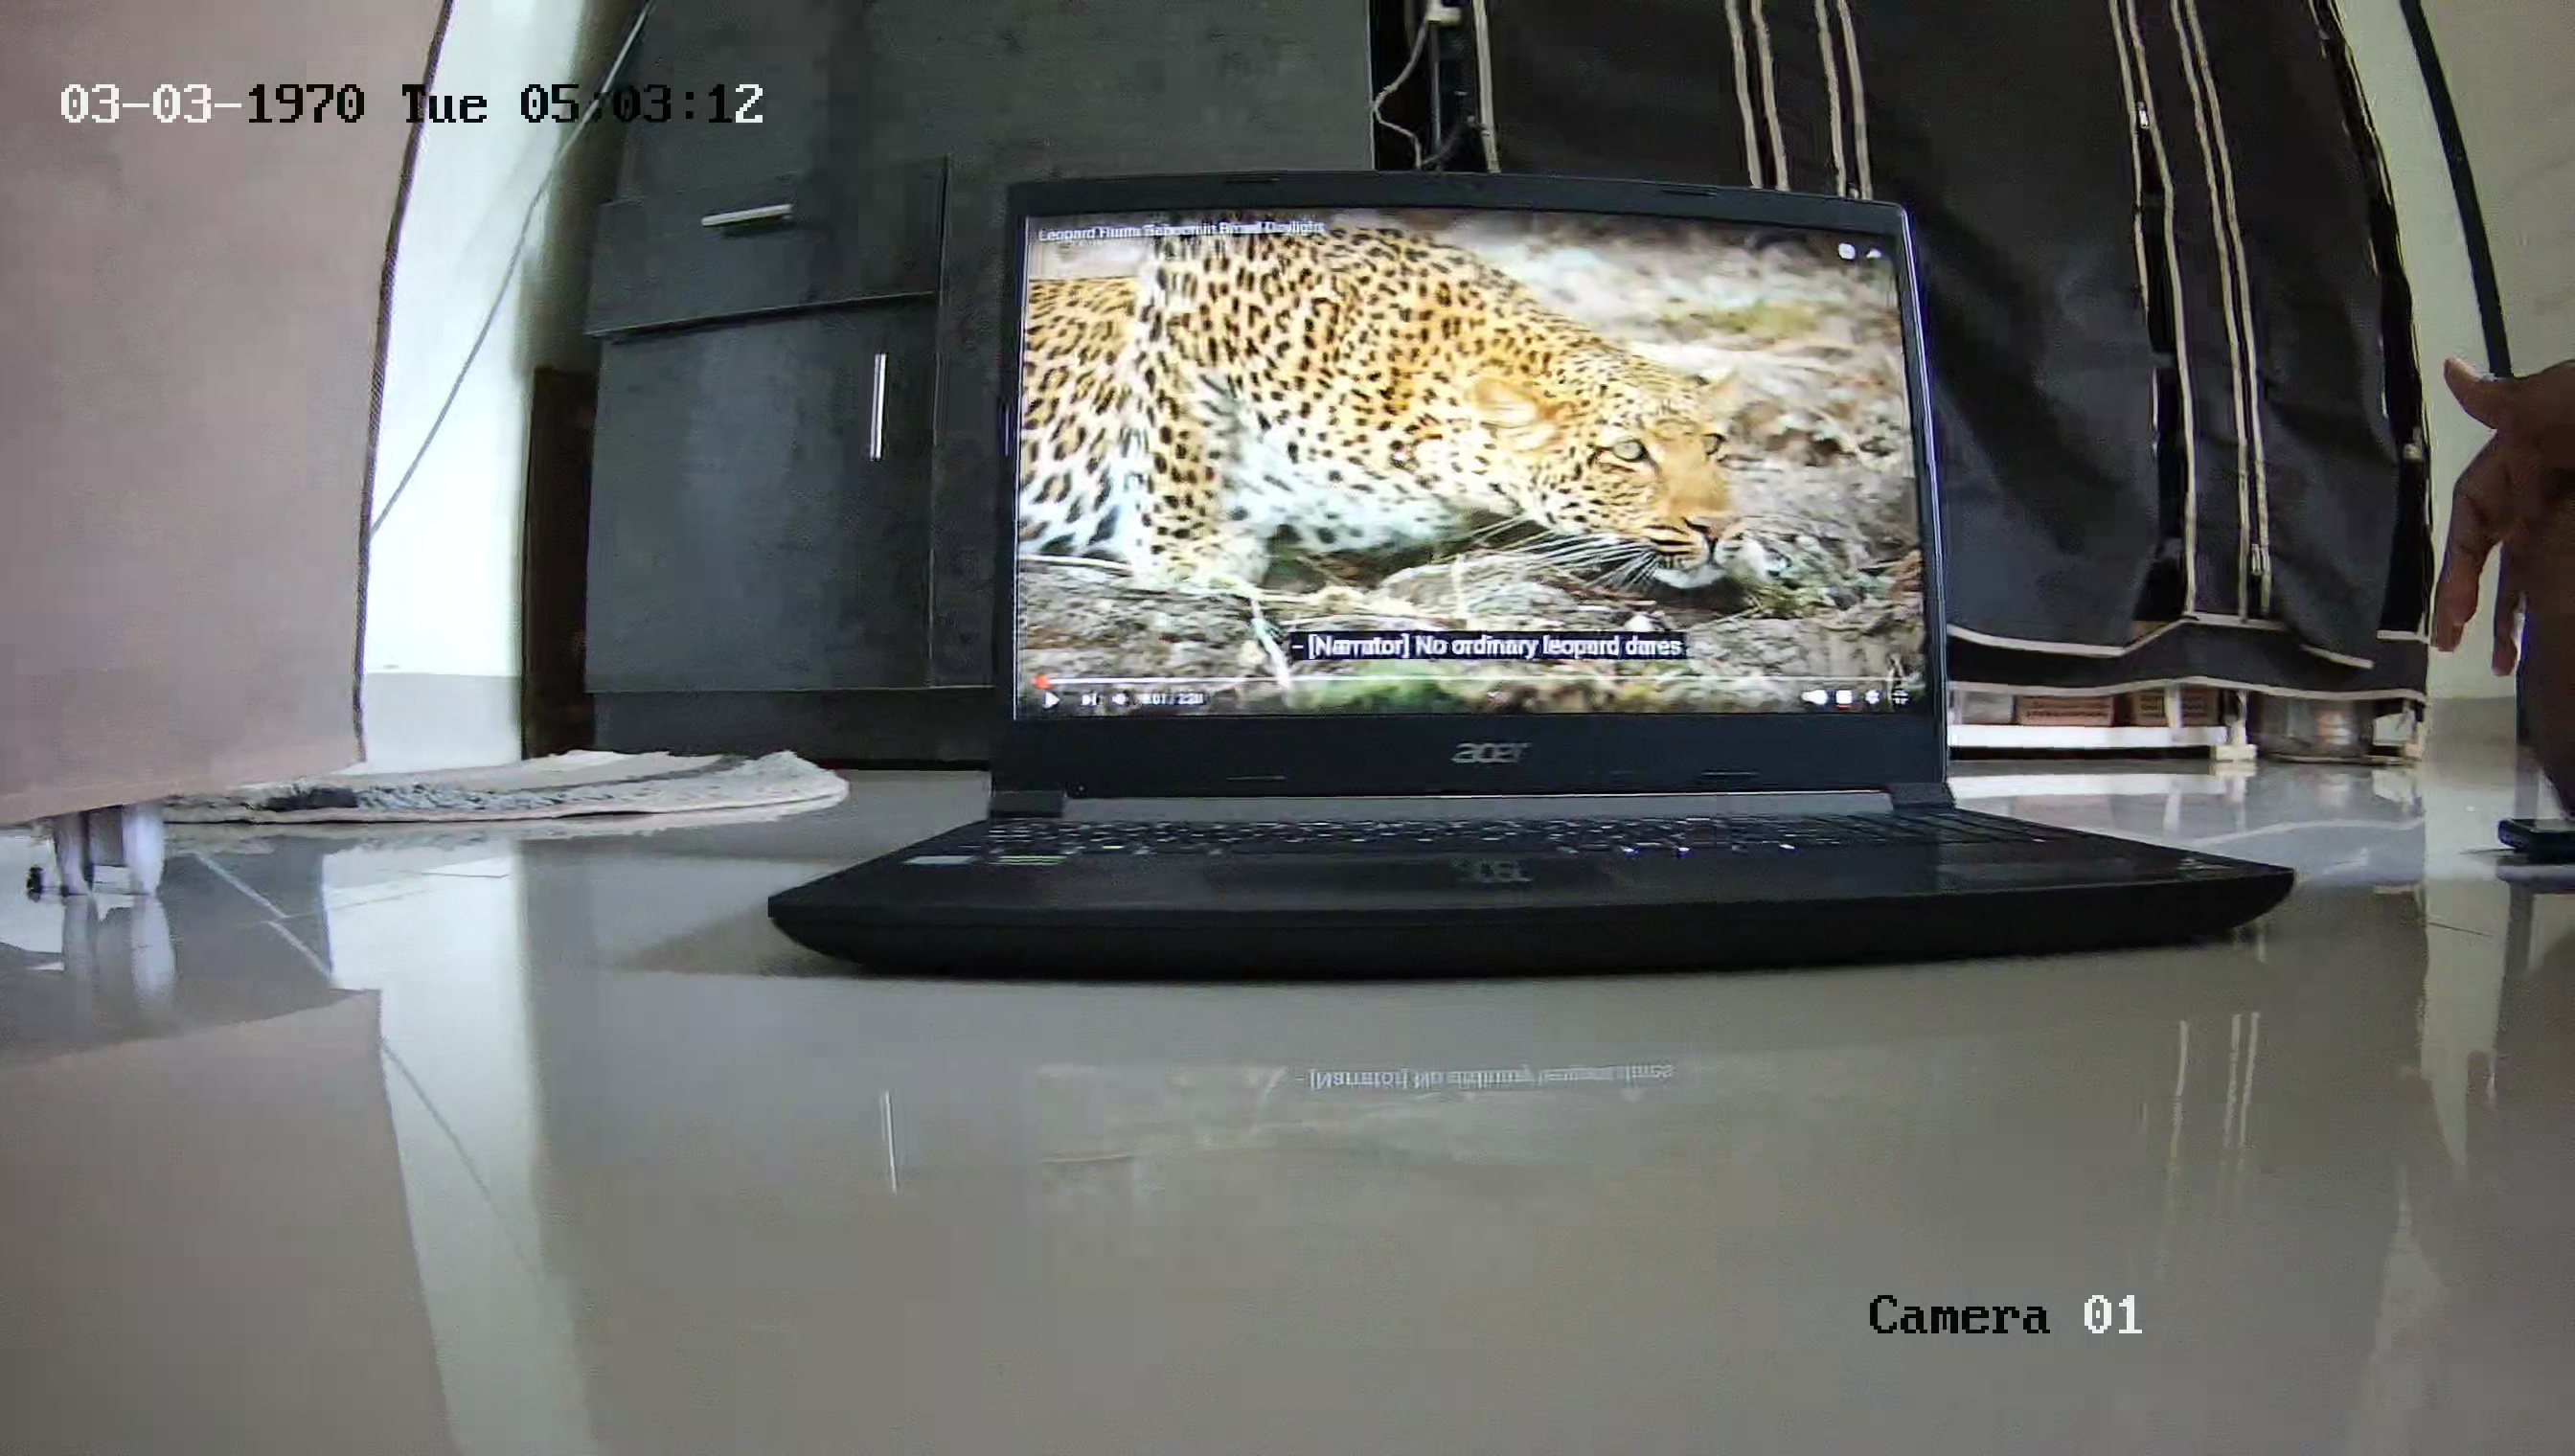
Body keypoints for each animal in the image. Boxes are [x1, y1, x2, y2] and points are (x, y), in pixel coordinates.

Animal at [1015, 225, 1744, 593]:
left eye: (1713, 446)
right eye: (1629, 452)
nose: (1717, 529)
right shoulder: (1194, 285)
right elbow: (1177, 437)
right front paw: (1189, 555)